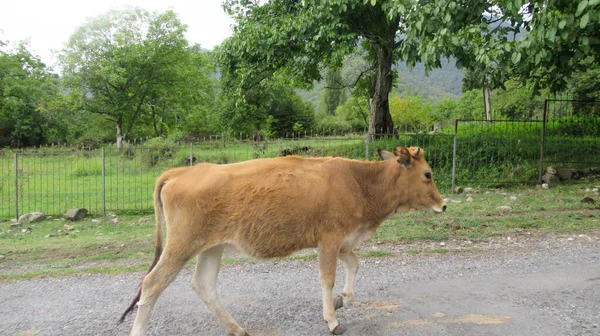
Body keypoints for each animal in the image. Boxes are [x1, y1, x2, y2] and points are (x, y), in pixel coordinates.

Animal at [119, 146, 446, 334]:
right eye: (428, 174)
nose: (443, 205)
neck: (359, 181)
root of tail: (184, 171)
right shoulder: (330, 238)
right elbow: (327, 278)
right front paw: (332, 319)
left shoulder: (342, 239)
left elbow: (354, 265)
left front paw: (343, 299)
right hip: (181, 245)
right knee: (152, 283)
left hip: (211, 247)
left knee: (203, 285)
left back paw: (237, 329)